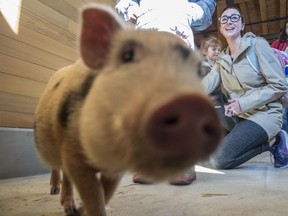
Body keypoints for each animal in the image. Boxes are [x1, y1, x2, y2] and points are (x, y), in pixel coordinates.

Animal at [33, 3, 223, 216]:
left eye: (196, 72)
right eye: (127, 56)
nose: (188, 103)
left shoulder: (114, 170)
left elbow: (104, 193)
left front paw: (81, 210)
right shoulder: (74, 154)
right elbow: (93, 196)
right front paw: (83, 209)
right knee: (58, 169)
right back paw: (57, 194)